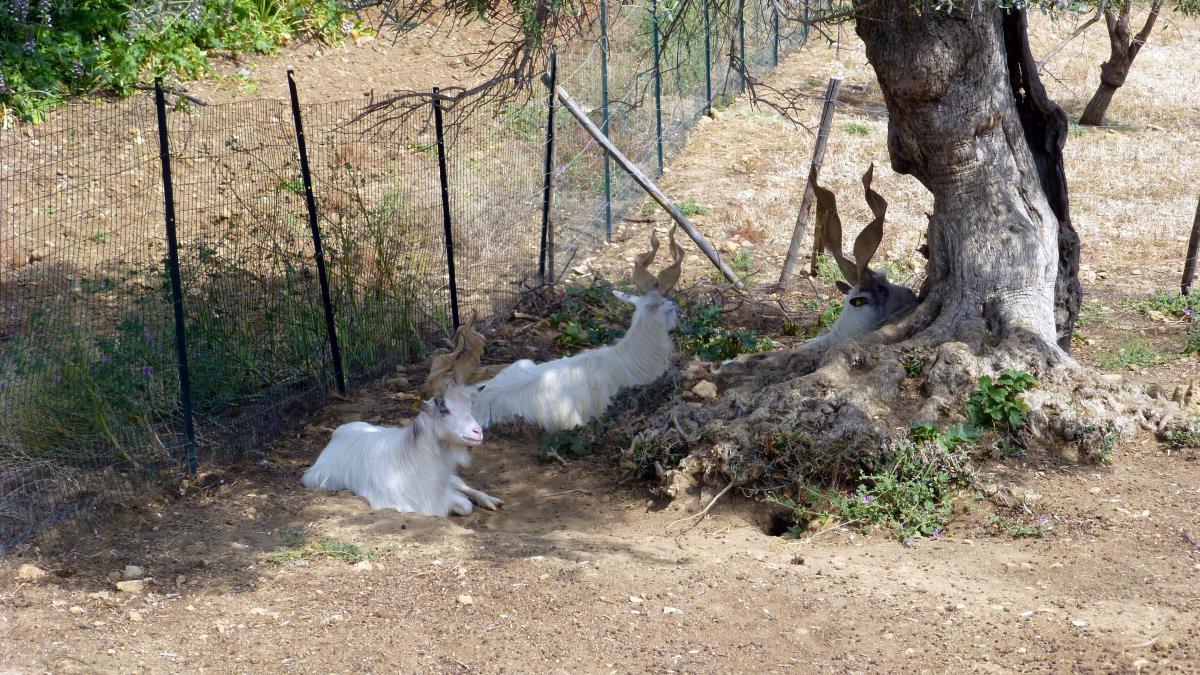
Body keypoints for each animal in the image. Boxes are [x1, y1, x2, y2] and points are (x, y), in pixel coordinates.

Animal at [301, 321, 502, 517]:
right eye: (444, 409)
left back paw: (491, 500)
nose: (477, 433)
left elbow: (464, 503)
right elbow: (462, 506)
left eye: (469, 405)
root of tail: (342, 430)